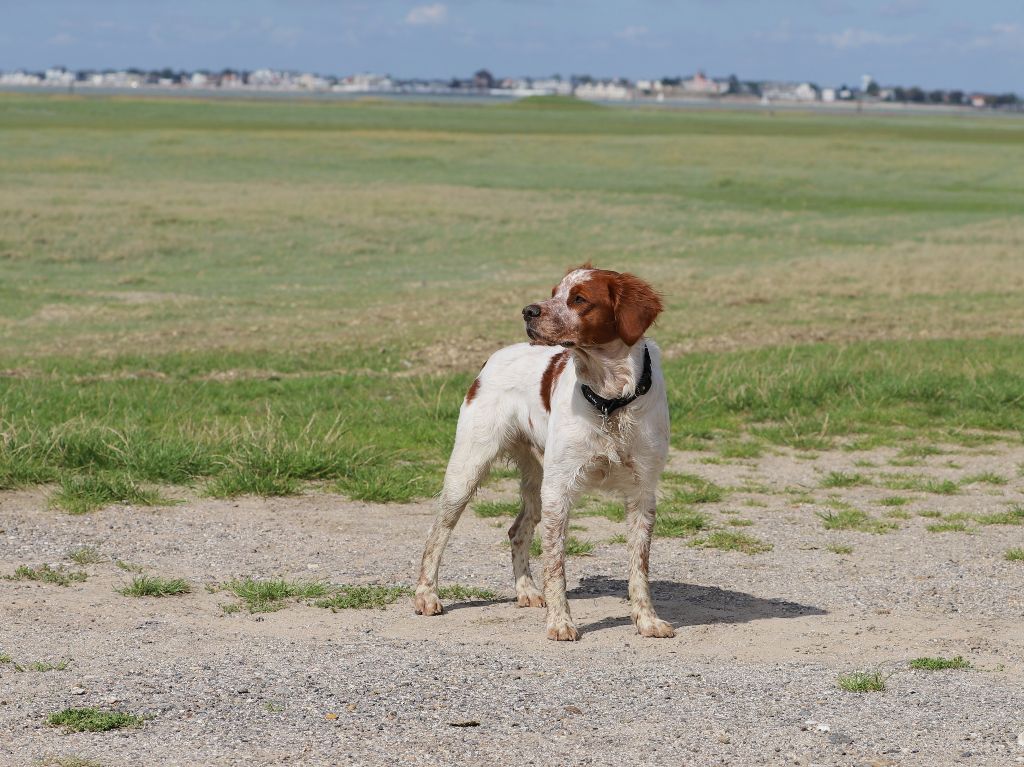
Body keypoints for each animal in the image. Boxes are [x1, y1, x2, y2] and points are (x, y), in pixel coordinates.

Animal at [415, 264, 671, 638]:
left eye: (579, 299)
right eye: (554, 293)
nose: (528, 311)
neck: (611, 400)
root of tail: (493, 358)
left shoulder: (642, 491)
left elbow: (639, 567)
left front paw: (647, 620)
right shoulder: (559, 489)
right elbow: (556, 565)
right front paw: (560, 622)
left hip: (536, 481)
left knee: (517, 530)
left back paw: (526, 590)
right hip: (467, 470)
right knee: (437, 533)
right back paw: (426, 596)